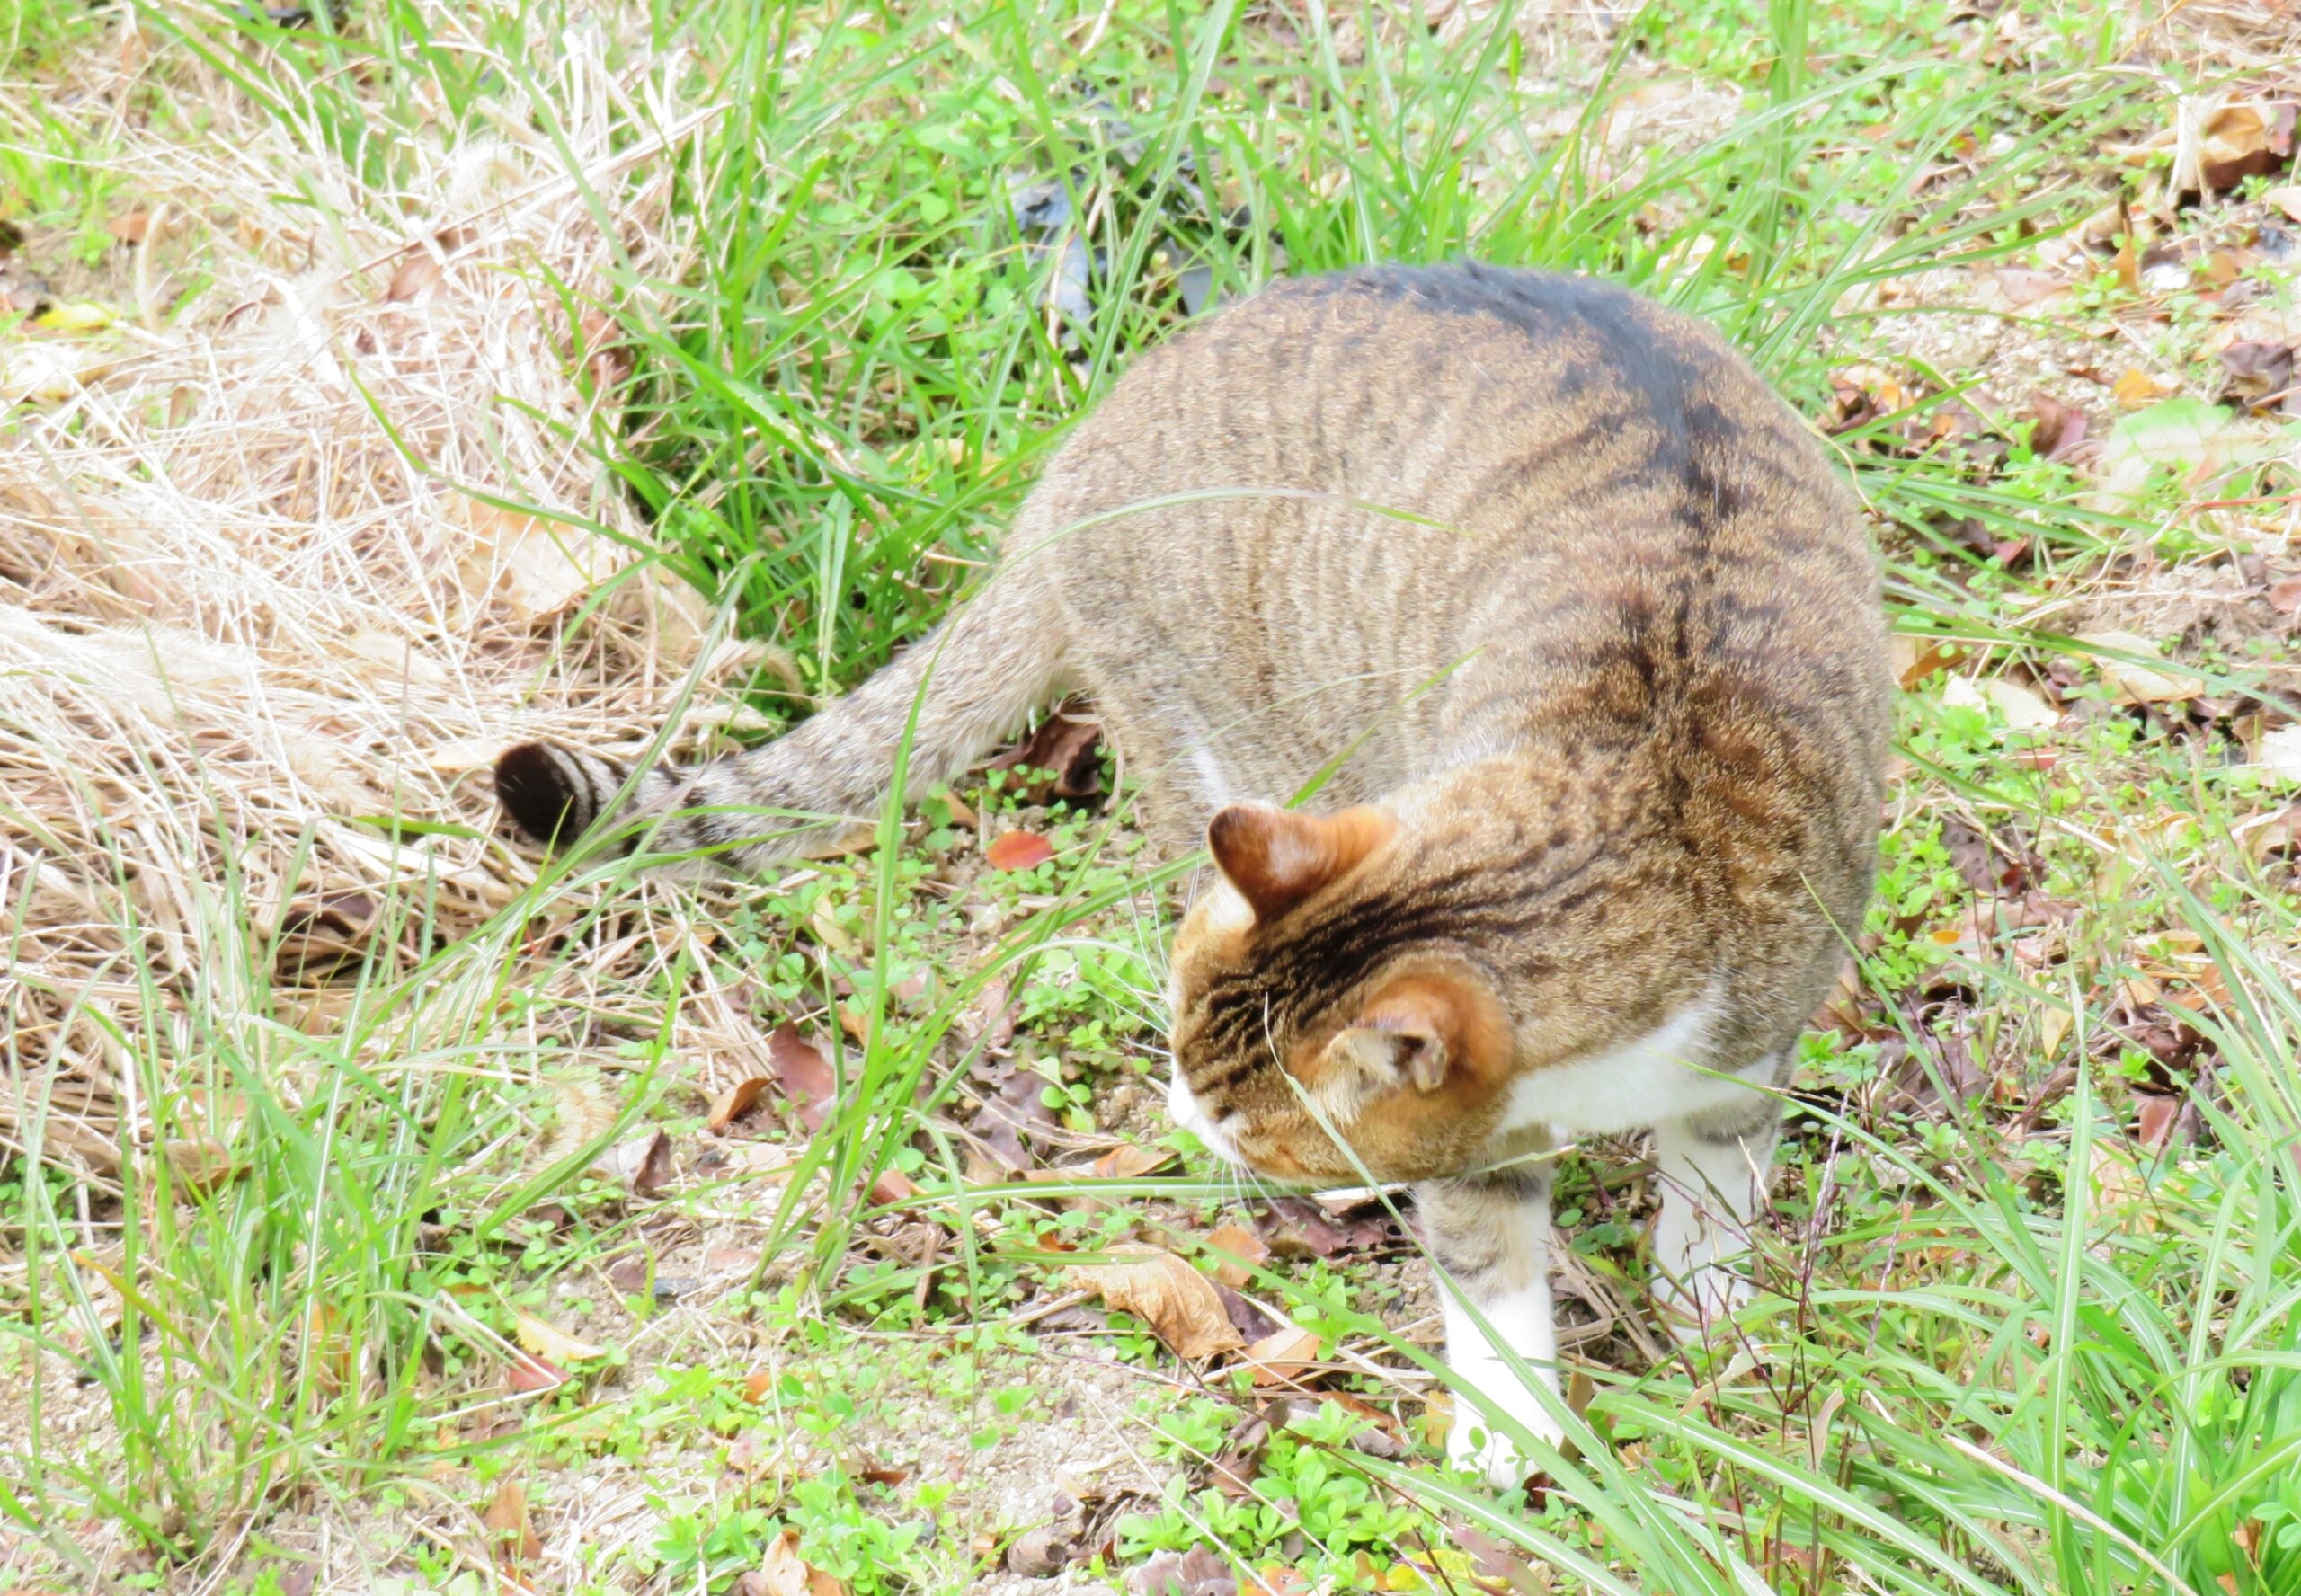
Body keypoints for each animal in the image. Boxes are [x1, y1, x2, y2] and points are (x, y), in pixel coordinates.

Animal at [499, 260, 1887, 1490]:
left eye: (1255, 1120)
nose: (1188, 1109)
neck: (1651, 801)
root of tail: (1086, 441)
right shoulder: (1477, 1153)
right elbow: (1490, 1274)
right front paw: (1509, 1430)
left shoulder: (1749, 1047)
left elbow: (1715, 1193)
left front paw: (1708, 1318)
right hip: (1195, 729)